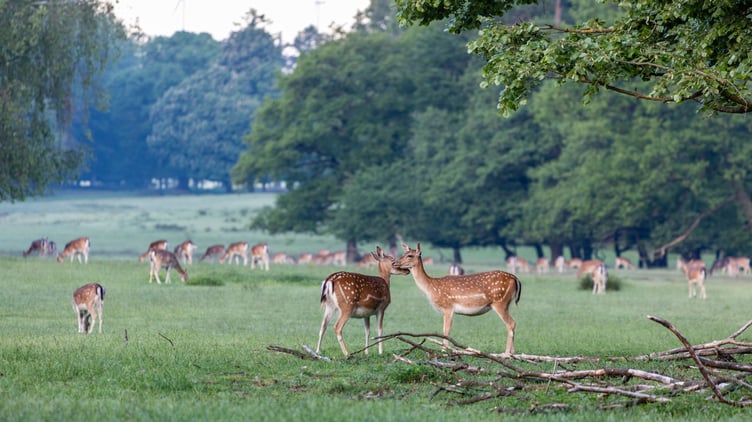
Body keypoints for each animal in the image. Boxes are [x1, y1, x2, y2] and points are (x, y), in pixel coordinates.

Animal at [393, 243, 522, 355]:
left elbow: (446, 330)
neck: (431, 287)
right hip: (506, 303)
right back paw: (513, 353)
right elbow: (445, 330)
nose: (394, 262)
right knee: (512, 324)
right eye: (404, 253)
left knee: (511, 323)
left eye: (410, 255)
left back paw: (506, 353)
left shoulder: (448, 307)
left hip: (499, 302)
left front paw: (444, 351)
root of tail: (515, 278)